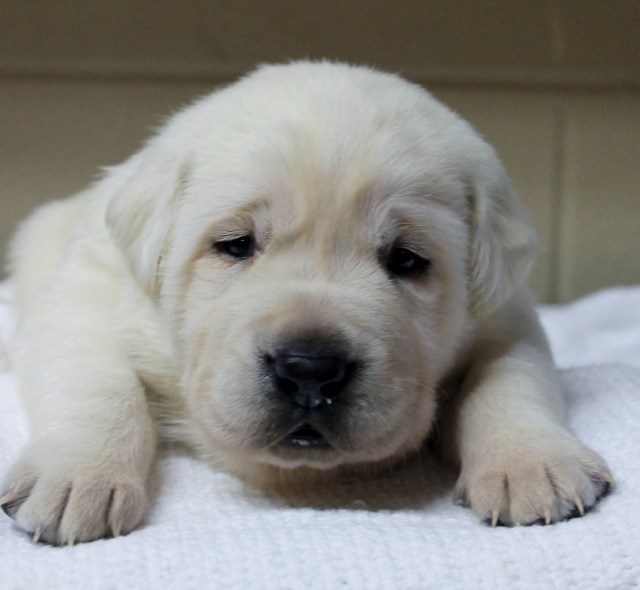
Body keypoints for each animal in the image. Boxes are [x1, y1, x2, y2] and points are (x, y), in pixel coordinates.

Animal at [0, 61, 612, 544]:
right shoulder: (87, 295)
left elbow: (510, 380)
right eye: (235, 244)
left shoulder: (506, 317)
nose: (310, 370)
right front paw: (79, 478)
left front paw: (532, 465)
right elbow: (99, 387)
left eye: (407, 259)